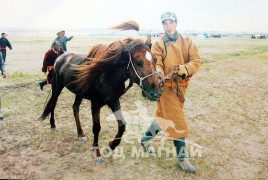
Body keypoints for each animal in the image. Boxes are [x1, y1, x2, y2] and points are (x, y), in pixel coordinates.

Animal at [38, 21, 162, 162]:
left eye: (155, 60)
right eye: (138, 62)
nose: (156, 91)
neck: (106, 75)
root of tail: (60, 57)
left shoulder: (113, 100)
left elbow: (122, 125)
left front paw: (111, 145)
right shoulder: (95, 104)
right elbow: (97, 127)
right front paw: (97, 153)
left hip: (79, 93)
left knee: (75, 108)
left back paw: (80, 134)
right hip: (57, 87)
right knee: (53, 104)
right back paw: (53, 125)